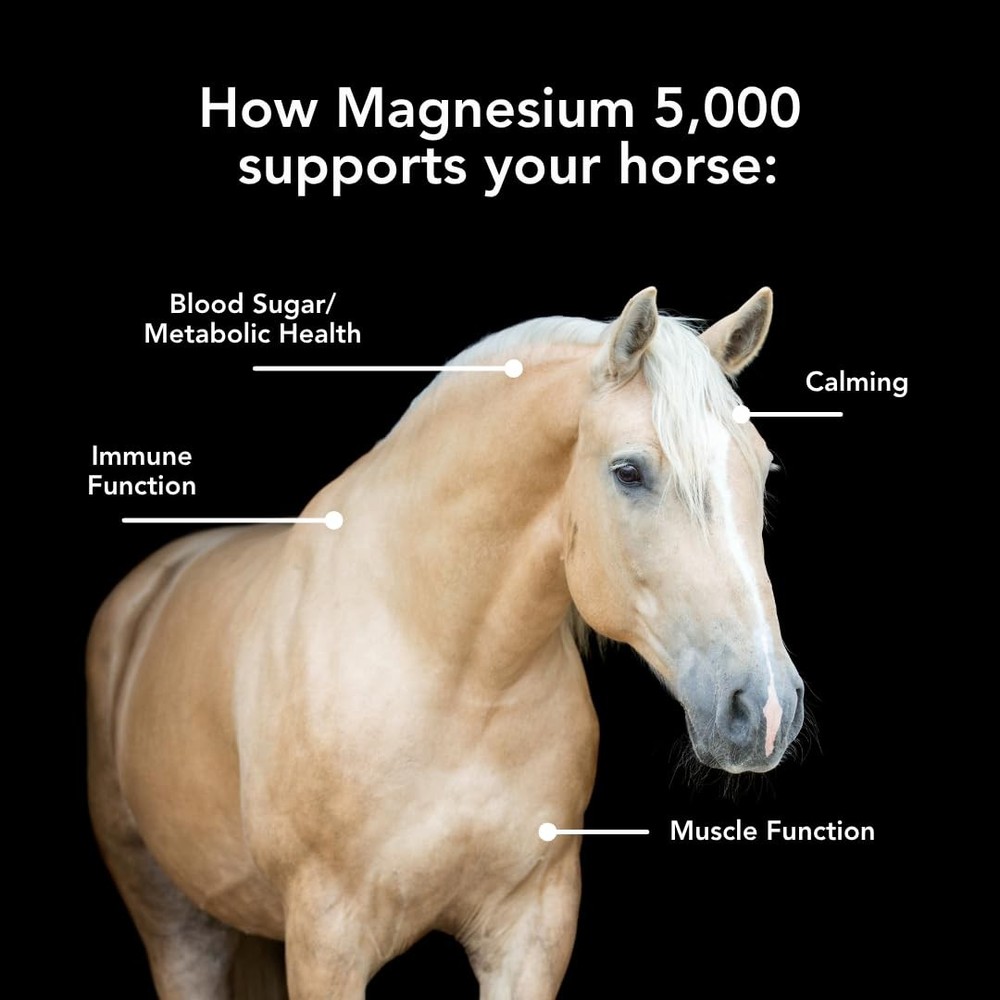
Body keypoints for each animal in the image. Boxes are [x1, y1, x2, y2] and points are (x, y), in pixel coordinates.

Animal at [87, 286, 804, 998]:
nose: (765, 708)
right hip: (176, 922)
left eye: (764, 469)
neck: (456, 674)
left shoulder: (531, 929)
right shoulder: (327, 939)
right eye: (629, 472)